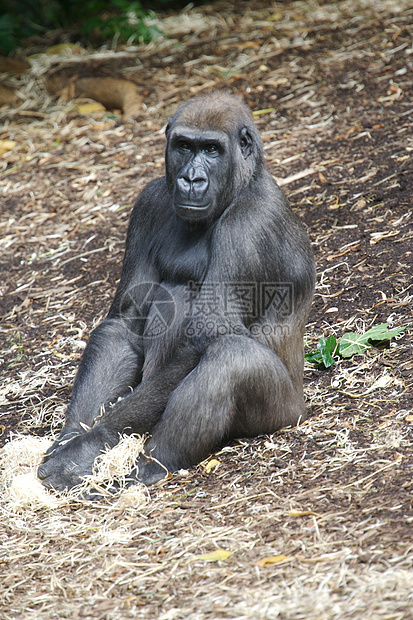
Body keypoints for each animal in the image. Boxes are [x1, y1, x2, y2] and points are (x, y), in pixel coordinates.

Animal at [38, 91, 316, 490]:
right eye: (184, 146)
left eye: (213, 150)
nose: (191, 179)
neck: (244, 182)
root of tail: (303, 409)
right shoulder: (149, 202)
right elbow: (126, 322)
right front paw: (74, 433)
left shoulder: (248, 224)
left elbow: (209, 334)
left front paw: (92, 443)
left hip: (284, 415)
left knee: (230, 356)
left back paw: (154, 464)